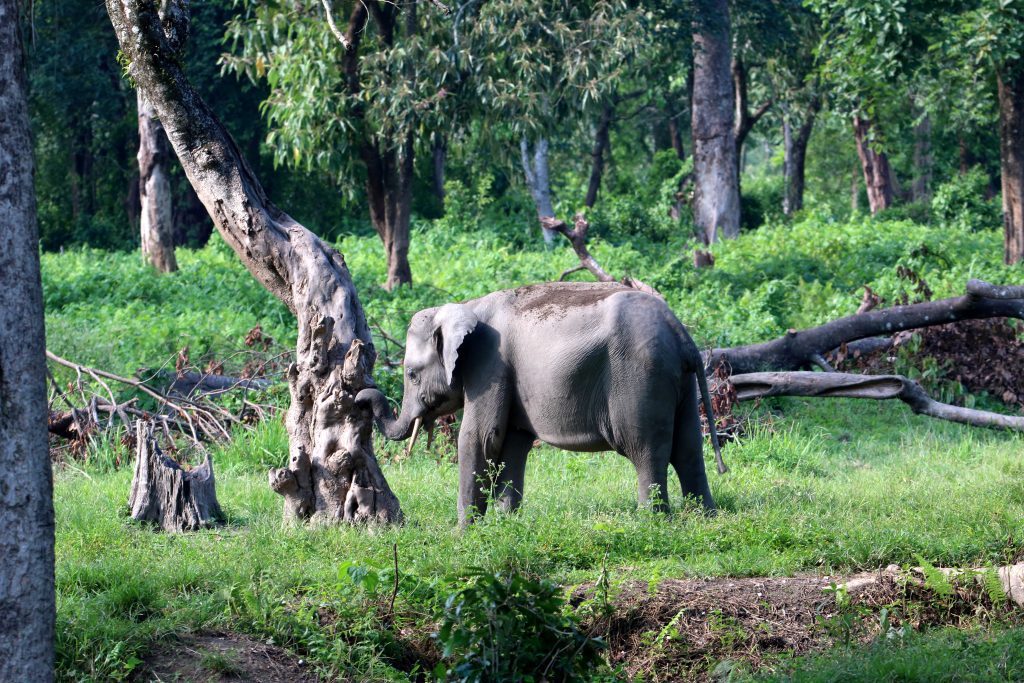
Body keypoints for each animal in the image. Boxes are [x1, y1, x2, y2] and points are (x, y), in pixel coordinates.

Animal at [356, 280, 724, 528]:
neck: (465, 305)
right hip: (681, 382)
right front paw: (506, 523)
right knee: (688, 447)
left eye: (411, 373)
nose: (359, 399)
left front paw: (462, 532)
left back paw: (652, 520)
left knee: (646, 447)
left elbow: (479, 438)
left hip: (642, 377)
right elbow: (512, 443)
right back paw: (704, 515)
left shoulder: (489, 364)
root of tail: (681, 334)